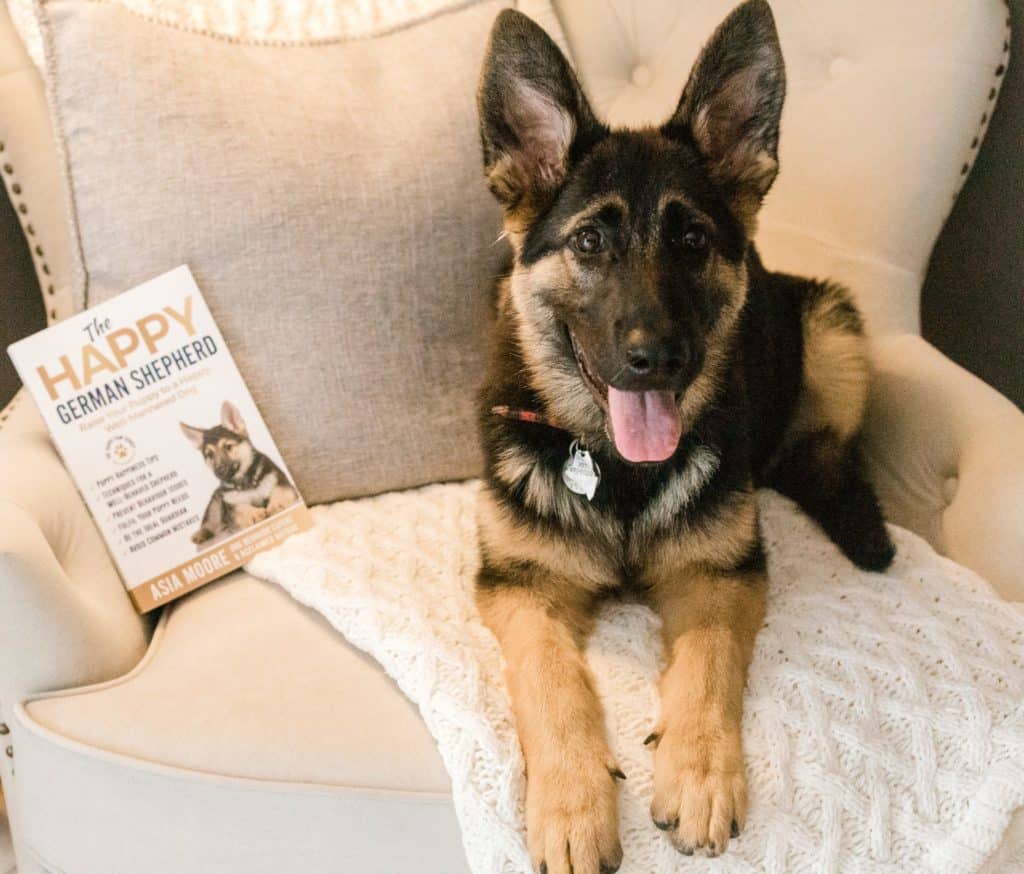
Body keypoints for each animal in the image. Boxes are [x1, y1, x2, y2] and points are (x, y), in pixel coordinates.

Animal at [475, 3, 892, 871]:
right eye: (589, 243)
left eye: (693, 241)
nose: (658, 357)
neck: (618, 470)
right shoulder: (521, 587)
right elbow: (552, 682)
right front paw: (573, 803)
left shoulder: (719, 576)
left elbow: (707, 663)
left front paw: (699, 772)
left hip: (832, 323)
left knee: (821, 450)